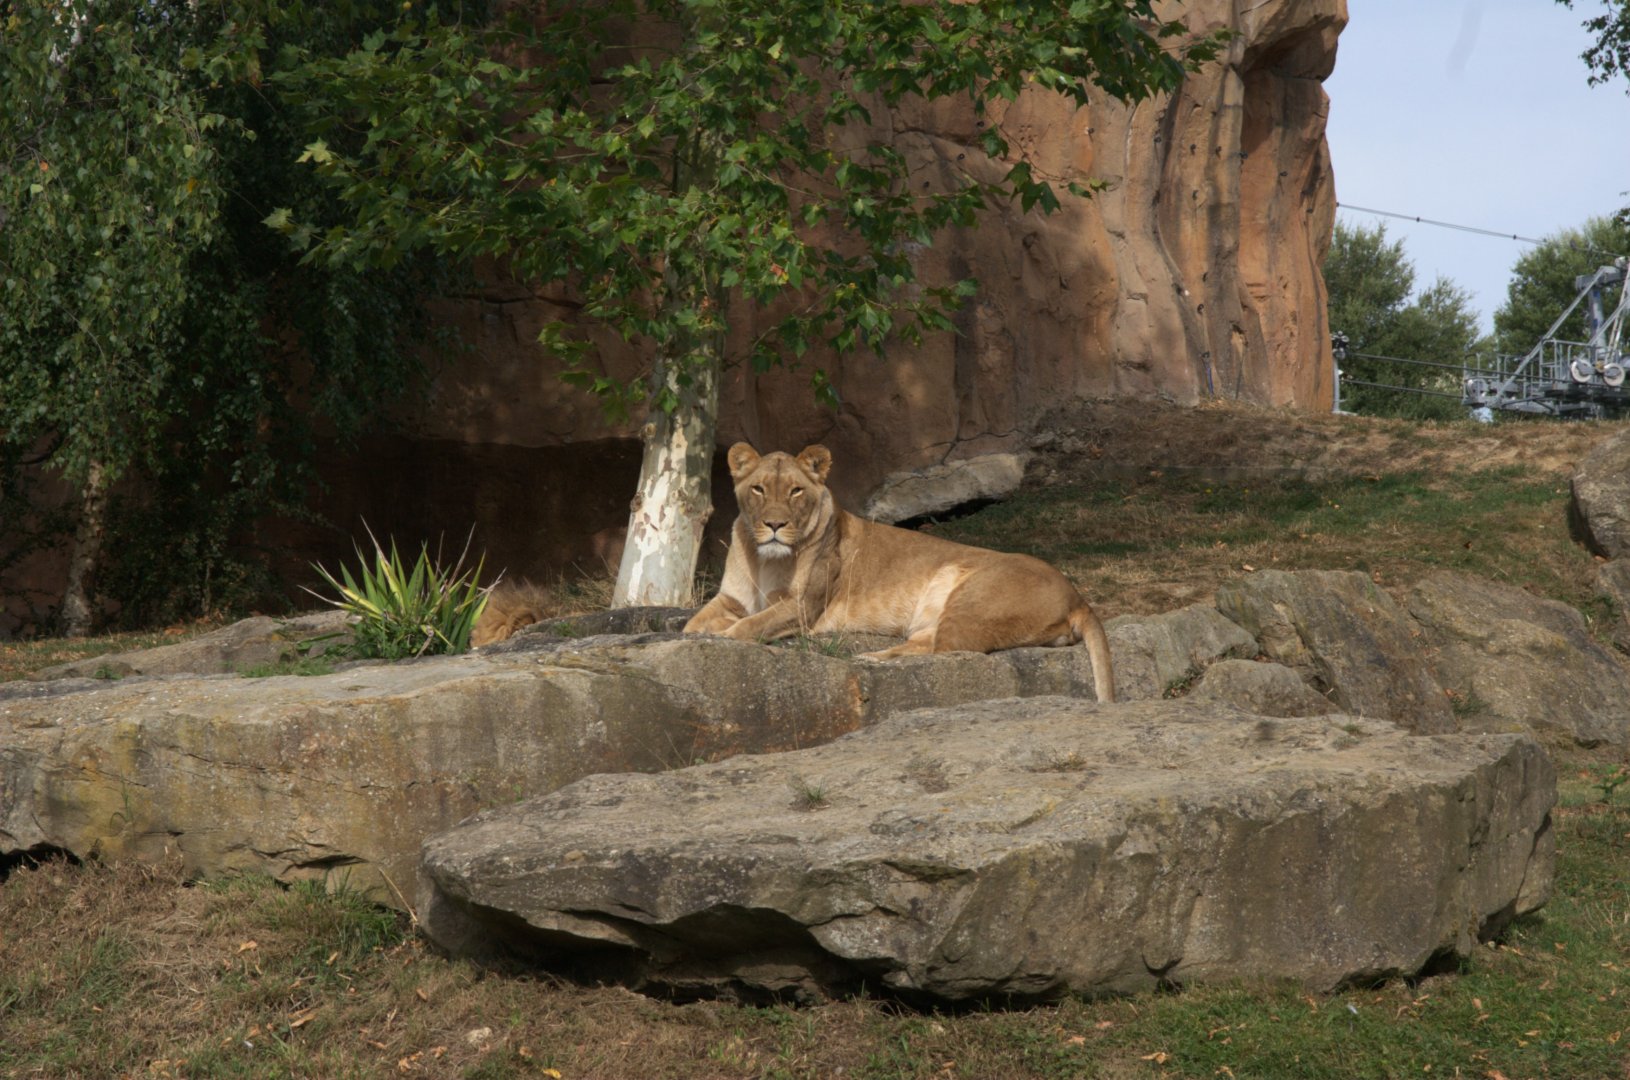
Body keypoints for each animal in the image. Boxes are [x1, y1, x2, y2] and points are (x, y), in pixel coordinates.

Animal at [684, 442, 1116, 702]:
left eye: (795, 491)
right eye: (758, 489)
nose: (774, 525)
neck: (765, 559)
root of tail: (1077, 595)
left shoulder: (804, 606)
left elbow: (750, 626)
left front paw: (721, 638)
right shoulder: (731, 599)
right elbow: (693, 623)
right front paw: (696, 635)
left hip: (971, 601)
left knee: (948, 653)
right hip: (933, 620)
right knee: (925, 645)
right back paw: (872, 658)